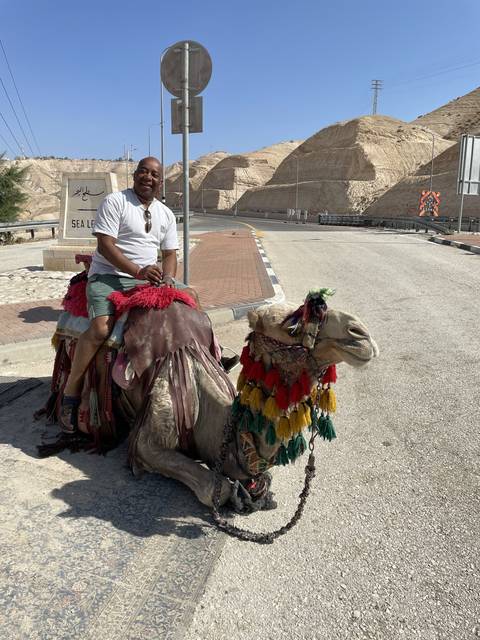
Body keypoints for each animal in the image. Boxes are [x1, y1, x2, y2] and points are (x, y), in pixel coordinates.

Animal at [39, 285, 378, 515]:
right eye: (289, 326)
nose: (361, 335)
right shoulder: (148, 440)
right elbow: (216, 486)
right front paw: (236, 494)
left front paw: (256, 490)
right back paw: (67, 418)